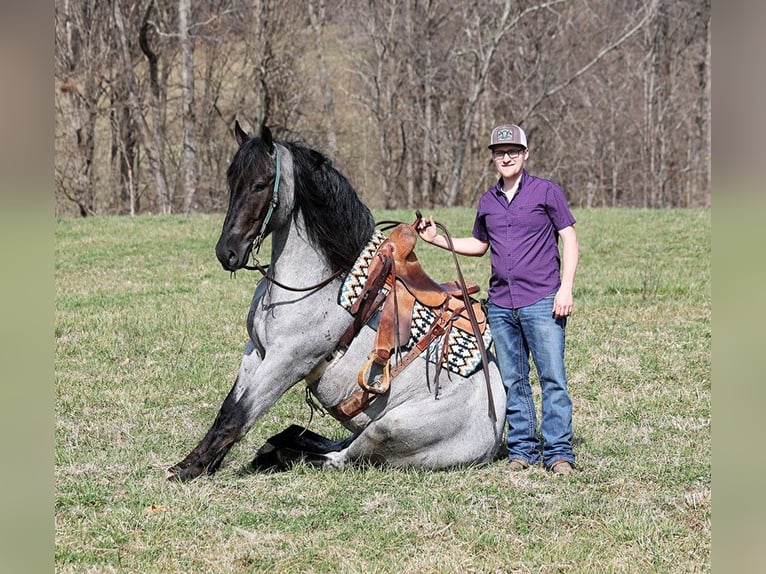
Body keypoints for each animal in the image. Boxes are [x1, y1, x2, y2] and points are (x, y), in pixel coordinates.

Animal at [166, 124, 510, 484]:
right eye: (232, 181)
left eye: (260, 184)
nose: (227, 252)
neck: (316, 280)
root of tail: (494, 433)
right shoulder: (257, 352)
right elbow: (229, 409)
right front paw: (199, 462)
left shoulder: (286, 362)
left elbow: (238, 415)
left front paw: (190, 468)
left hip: (385, 430)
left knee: (338, 458)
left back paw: (279, 453)